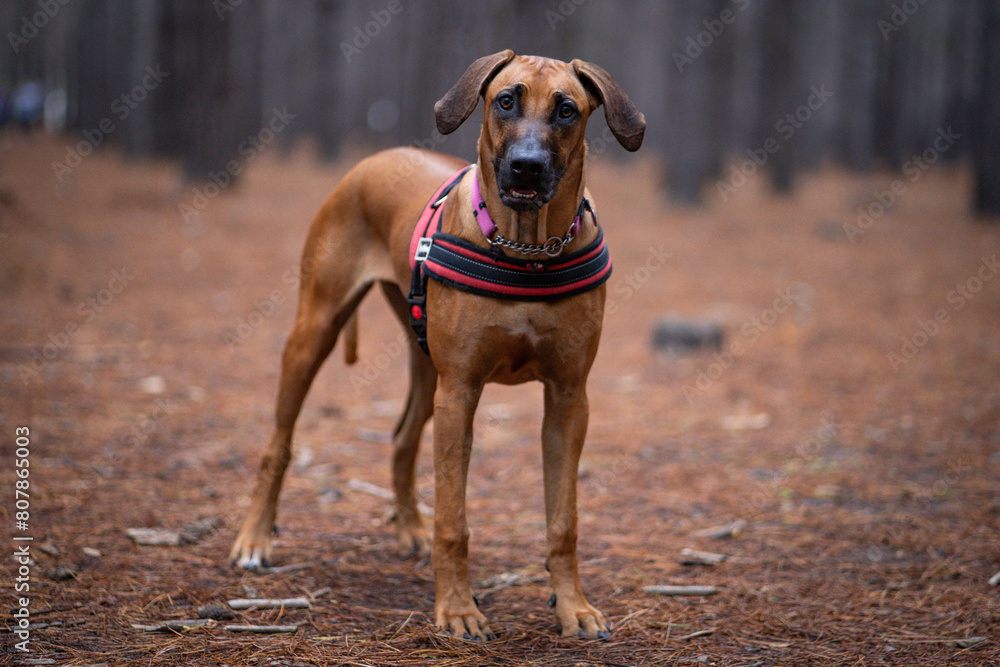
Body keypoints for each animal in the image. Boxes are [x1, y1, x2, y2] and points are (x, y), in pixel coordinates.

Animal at [230, 51, 644, 640]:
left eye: (567, 109)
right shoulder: (461, 393)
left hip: (426, 365)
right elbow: (455, 520)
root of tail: (376, 158)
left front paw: (574, 607)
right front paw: (458, 610)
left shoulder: (569, 399)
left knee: (402, 438)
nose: (526, 167)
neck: (528, 252)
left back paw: (409, 529)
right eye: (506, 100)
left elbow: (563, 522)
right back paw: (255, 539)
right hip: (315, 332)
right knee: (278, 446)